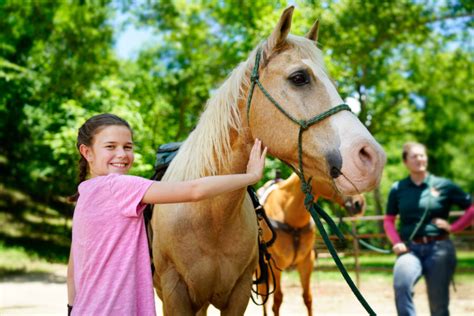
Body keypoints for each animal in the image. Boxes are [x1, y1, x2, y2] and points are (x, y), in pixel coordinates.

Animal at [258, 173, 364, 316]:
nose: (359, 203)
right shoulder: (276, 264)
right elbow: (277, 300)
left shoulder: (307, 262)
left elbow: (307, 298)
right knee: (263, 294)